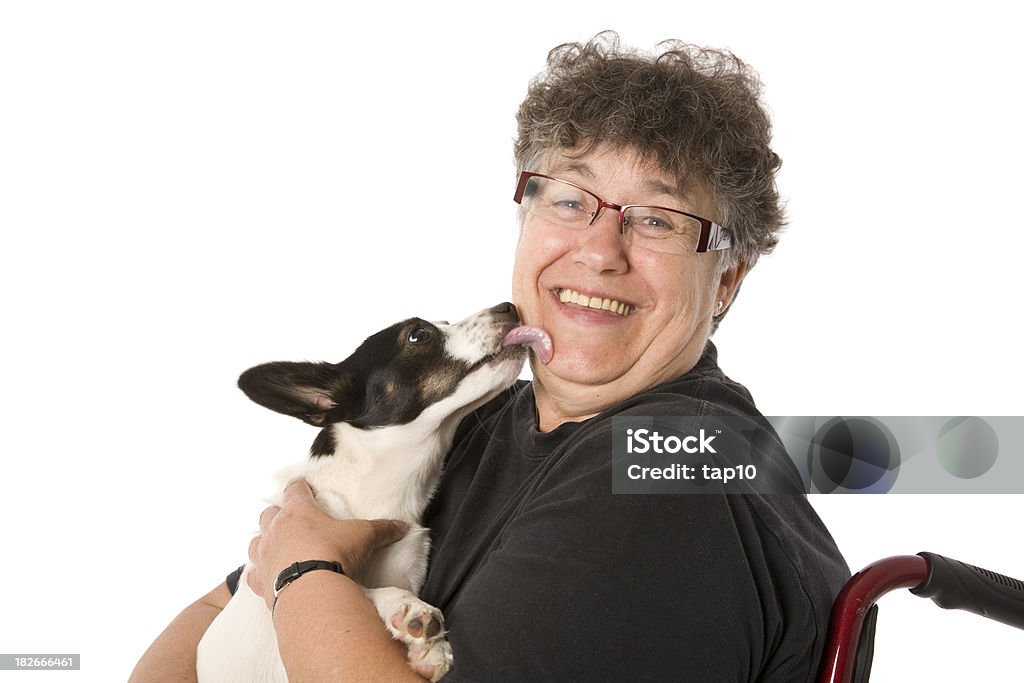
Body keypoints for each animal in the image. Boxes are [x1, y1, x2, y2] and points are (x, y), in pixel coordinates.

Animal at [196, 305, 557, 683]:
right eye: (418, 335)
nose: (508, 306)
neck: (379, 495)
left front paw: (431, 648)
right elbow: (358, 586)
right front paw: (410, 610)